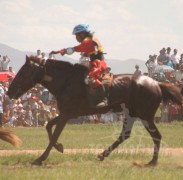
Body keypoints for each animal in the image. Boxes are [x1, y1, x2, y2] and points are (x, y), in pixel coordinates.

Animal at [7, 56, 183, 166]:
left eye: (23, 72)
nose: (9, 92)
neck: (66, 82)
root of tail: (157, 84)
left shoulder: (66, 114)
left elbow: (54, 133)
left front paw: (40, 158)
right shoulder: (68, 113)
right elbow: (49, 126)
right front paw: (59, 147)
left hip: (145, 116)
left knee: (156, 136)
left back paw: (152, 162)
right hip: (132, 114)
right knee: (125, 135)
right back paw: (102, 155)